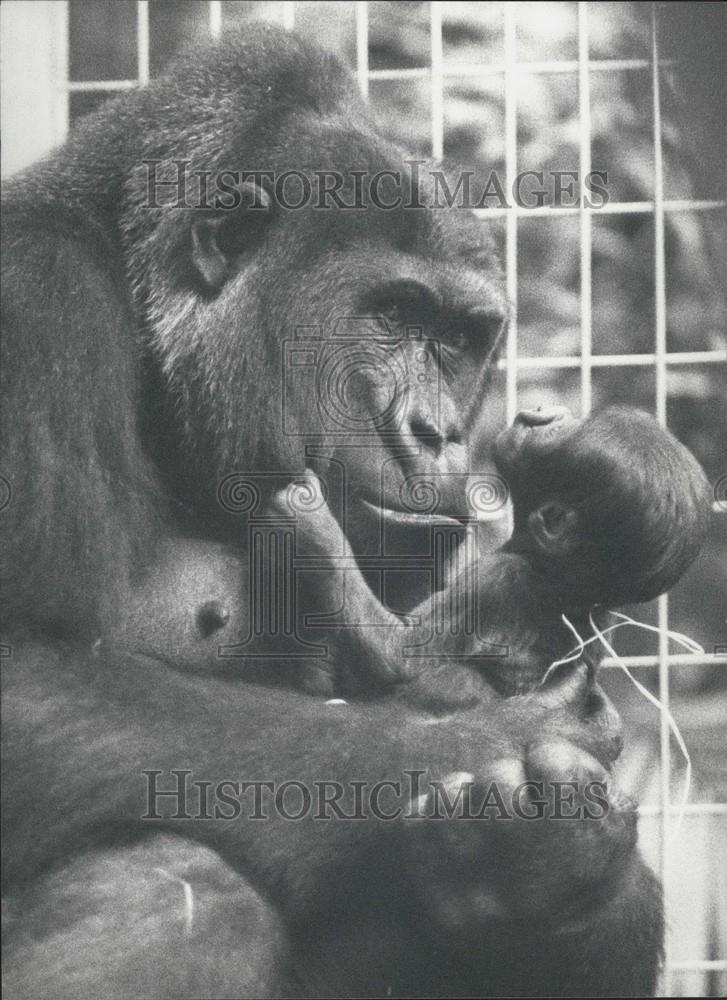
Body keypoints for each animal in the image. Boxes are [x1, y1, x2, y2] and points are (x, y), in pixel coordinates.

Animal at [1, 23, 664, 997]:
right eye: (391, 315)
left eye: (459, 340)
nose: (437, 433)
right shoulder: (32, 299)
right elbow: (26, 678)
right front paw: (487, 740)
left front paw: (547, 863)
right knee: (173, 888)